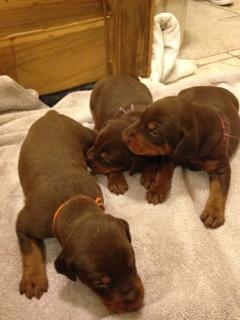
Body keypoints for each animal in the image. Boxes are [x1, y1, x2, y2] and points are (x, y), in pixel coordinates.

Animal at [16, 110, 144, 312]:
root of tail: (51, 113)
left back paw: (116, 178)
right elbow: (30, 251)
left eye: (131, 266)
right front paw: (33, 279)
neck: (72, 202)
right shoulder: (25, 222)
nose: (135, 304)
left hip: (88, 137)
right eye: (99, 283)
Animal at [123, 86, 240, 229]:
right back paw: (148, 175)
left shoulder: (221, 167)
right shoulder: (170, 155)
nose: (125, 135)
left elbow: (219, 190)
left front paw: (213, 212)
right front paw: (157, 189)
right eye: (140, 119)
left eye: (154, 132)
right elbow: (163, 171)